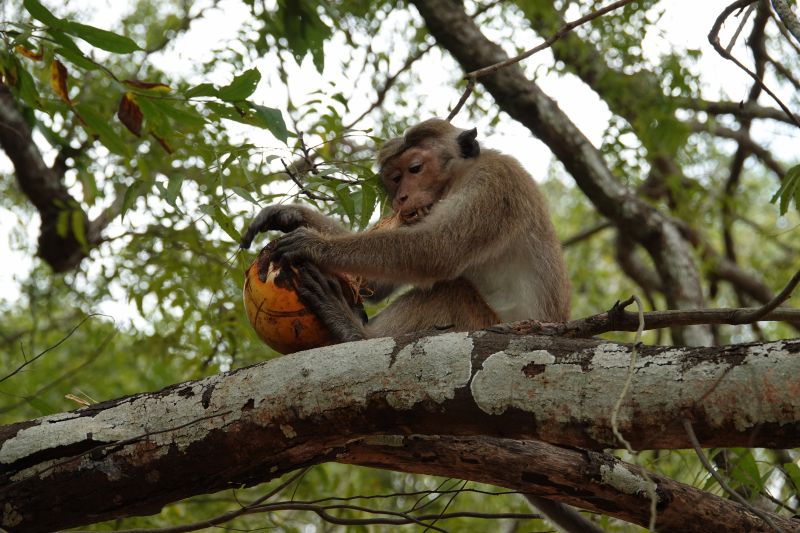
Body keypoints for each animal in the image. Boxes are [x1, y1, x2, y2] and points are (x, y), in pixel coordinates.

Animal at [239, 117, 568, 340]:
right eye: (394, 179)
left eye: (415, 168)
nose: (401, 198)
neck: (461, 174)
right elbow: (372, 282)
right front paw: (291, 215)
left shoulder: (492, 183)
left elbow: (435, 250)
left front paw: (312, 244)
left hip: (485, 324)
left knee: (451, 289)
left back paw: (355, 332)